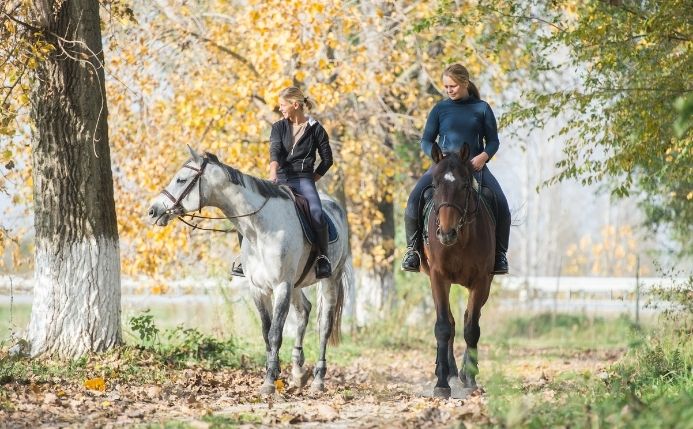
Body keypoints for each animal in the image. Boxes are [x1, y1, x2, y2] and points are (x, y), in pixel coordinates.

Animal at [146, 145, 352, 392]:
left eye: (181, 179)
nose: (153, 211)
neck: (260, 229)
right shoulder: (259, 289)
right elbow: (266, 332)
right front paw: (274, 373)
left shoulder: (281, 286)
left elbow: (275, 334)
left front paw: (270, 381)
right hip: (297, 283)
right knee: (304, 310)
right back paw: (298, 372)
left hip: (330, 280)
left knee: (324, 326)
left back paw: (318, 380)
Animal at [418, 141, 494, 398]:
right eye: (435, 185)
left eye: (464, 185)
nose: (446, 233)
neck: (461, 240)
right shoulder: (438, 277)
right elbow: (442, 327)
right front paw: (441, 384)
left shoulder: (482, 281)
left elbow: (471, 328)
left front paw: (469, 377)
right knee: (449, 322)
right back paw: (447, 370)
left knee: (467, 317)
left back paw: (461, 371)